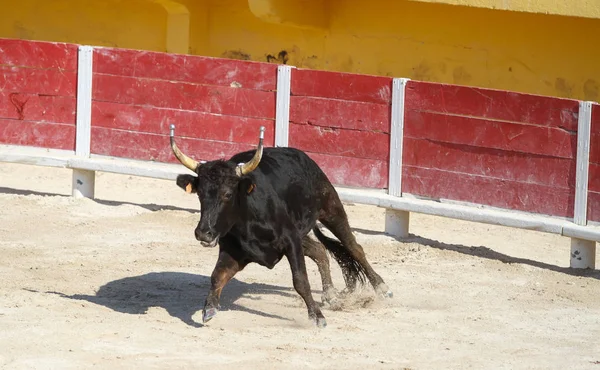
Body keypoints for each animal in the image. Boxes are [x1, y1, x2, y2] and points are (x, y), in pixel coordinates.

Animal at [170, 125, 394, 328]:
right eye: (200, 194)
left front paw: (317, 317)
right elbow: (217, 275)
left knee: (354, 247)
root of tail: (300, 155)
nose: (203, 233)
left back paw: (383, 288)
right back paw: (330, 294)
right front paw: (209, 309)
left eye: (227, 194)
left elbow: (300, 280)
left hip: (330, 206)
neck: (247, 220)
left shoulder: (291, 241)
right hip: (303, 229)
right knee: (320, 250)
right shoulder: (234, 250)